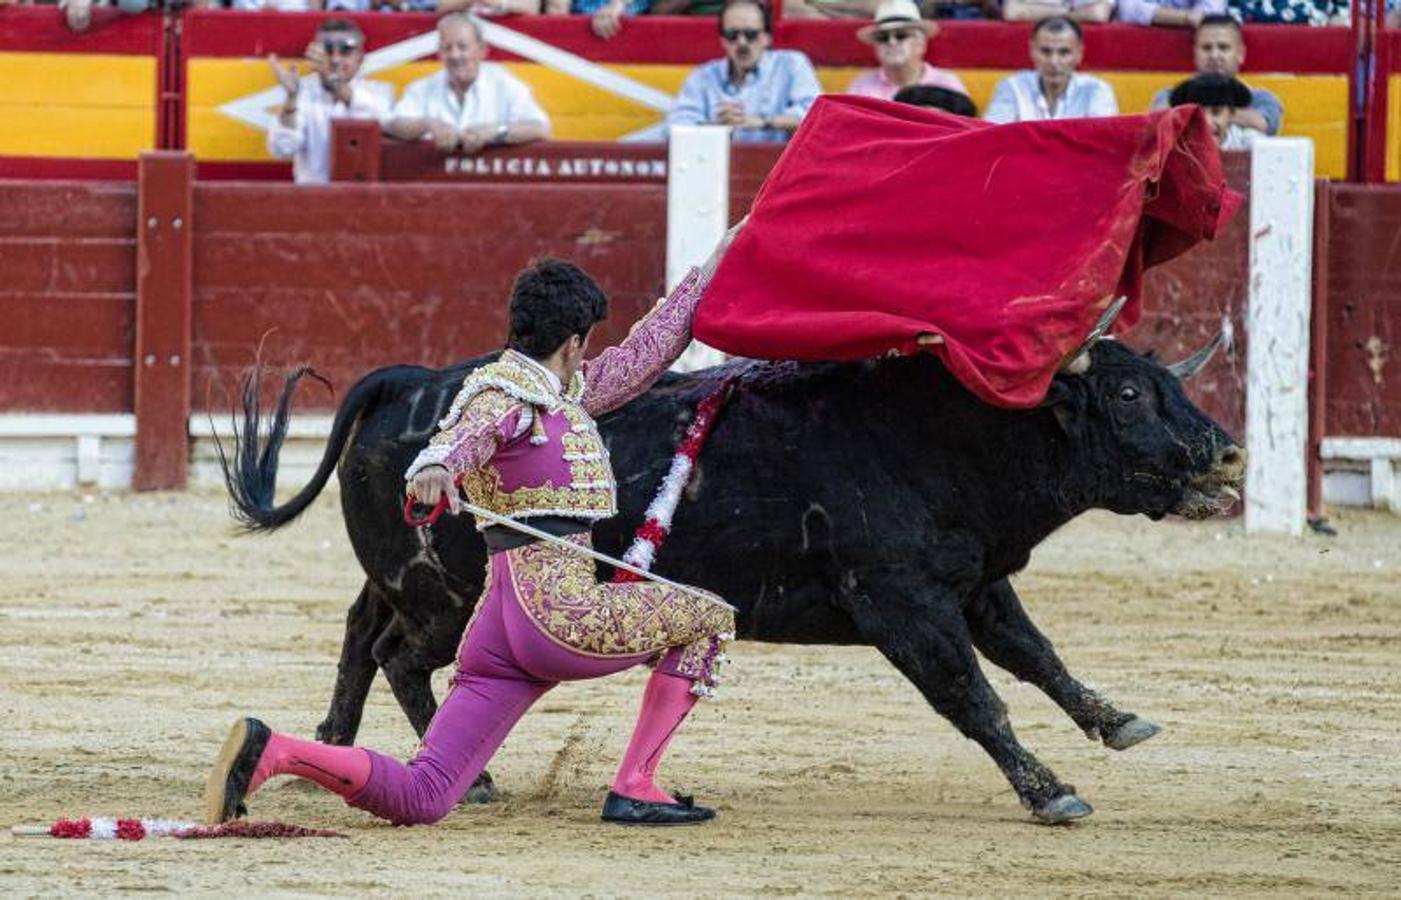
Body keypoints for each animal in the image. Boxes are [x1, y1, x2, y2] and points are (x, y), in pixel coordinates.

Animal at [221, 339, 1249, 824]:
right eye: (1127, 393)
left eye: (1165, 382)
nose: (1226, 453)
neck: (947, 437)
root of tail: (407, 379)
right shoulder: (902, 601)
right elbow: (974, 695)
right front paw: (1049, 792)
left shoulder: (975, 583)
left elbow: (1037, 656)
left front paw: (1115, 721)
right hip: (444, 597)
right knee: (401, 654)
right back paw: (467, 781)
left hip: (406, 577)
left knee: (360, 631)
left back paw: (332, 740)